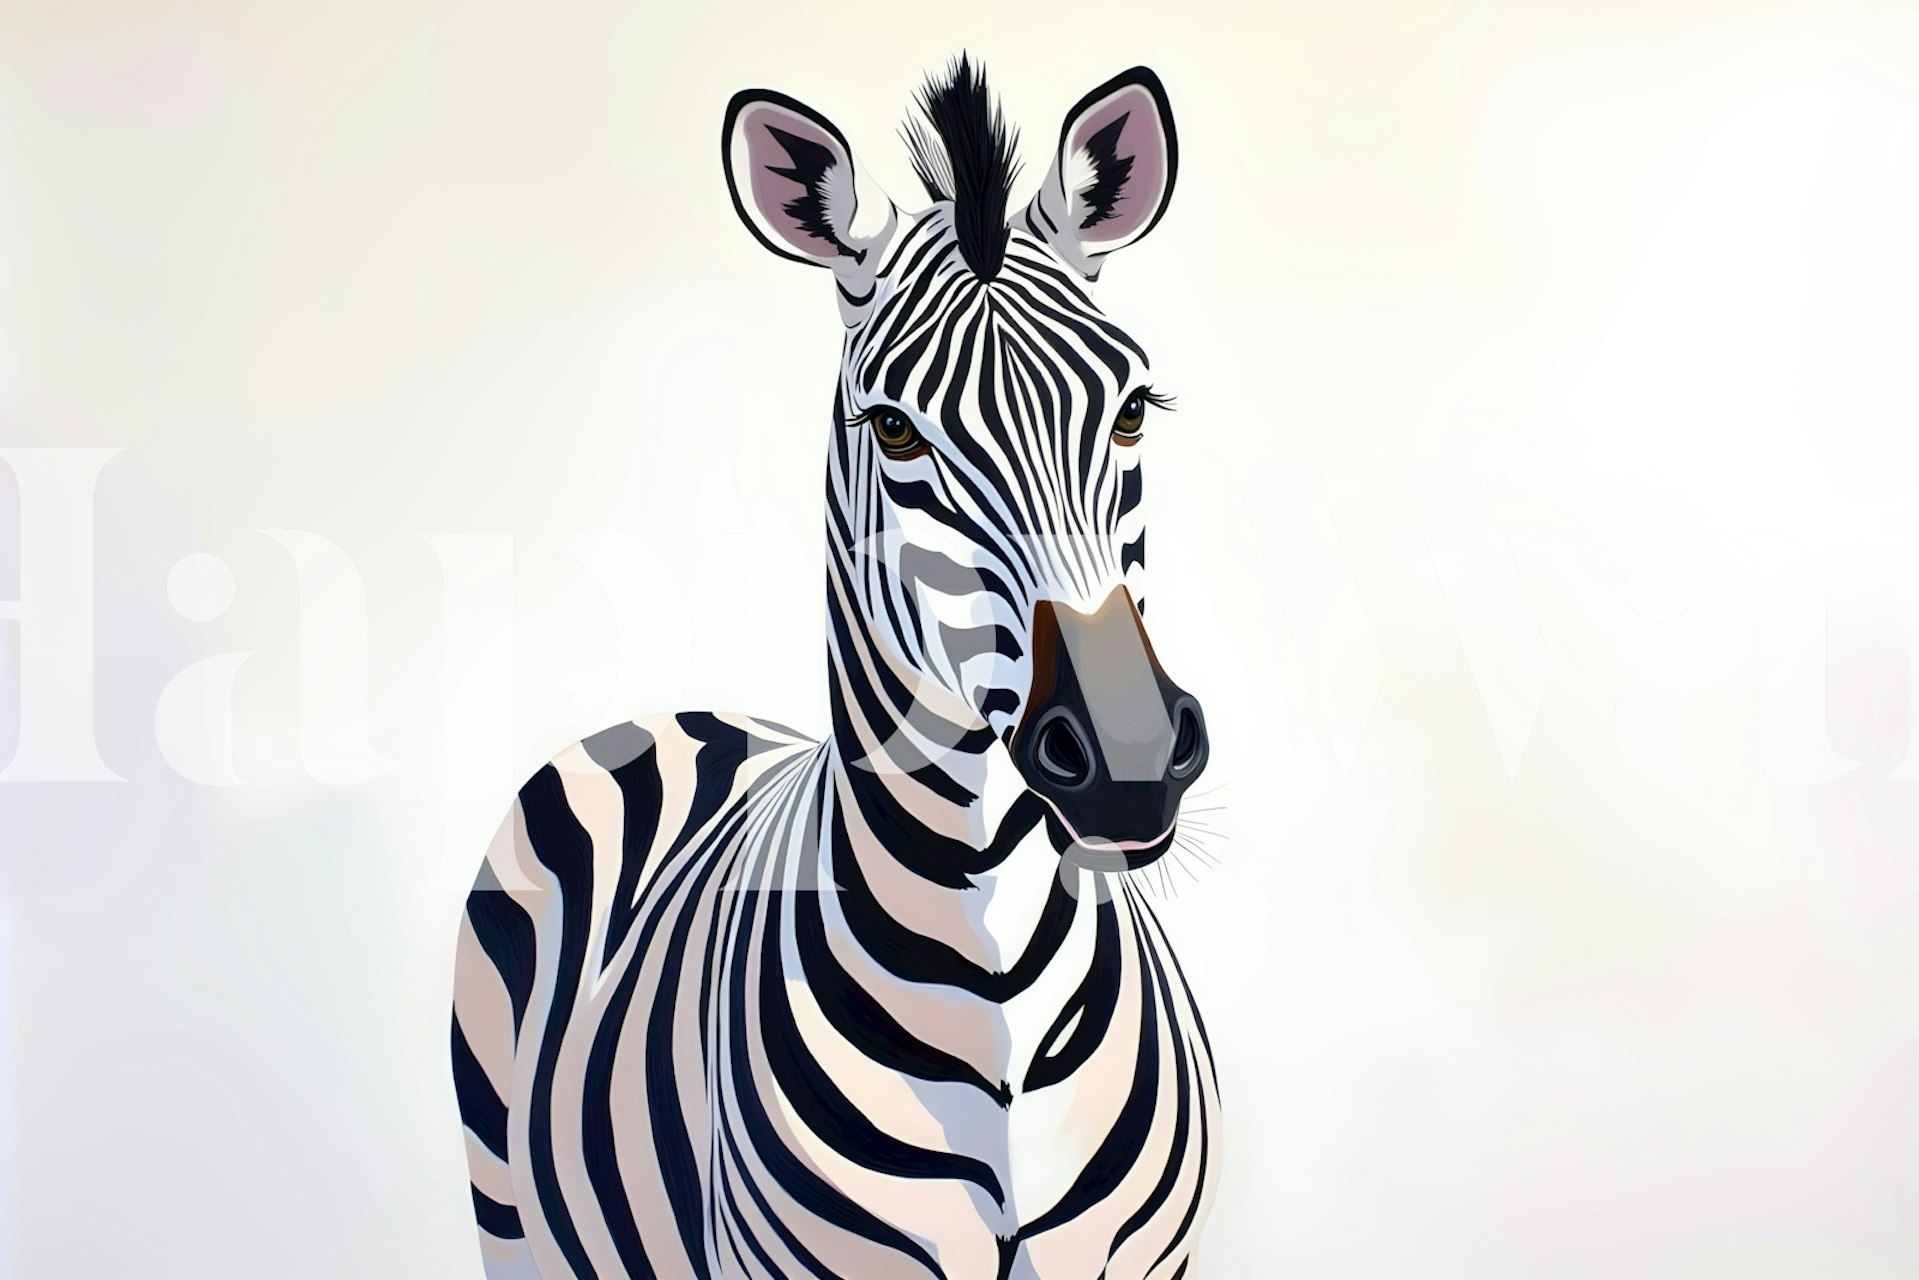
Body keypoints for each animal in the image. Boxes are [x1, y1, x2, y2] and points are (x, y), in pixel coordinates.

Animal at [452, 57, 1220, 1280]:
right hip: (513, 1221)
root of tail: (667, 718)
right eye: (894, 431)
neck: (999, 976)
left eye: (1135, 409)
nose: (1130, 759)